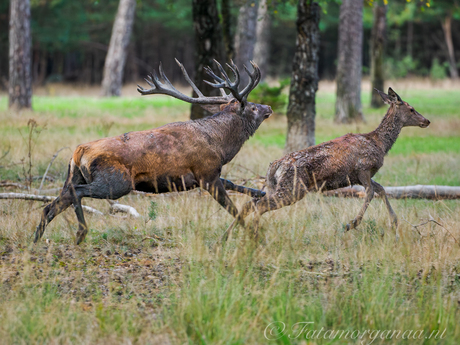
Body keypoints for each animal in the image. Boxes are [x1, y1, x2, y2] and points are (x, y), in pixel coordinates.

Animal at [37, 60, 274, 243]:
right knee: (76, 193)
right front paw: (255, 237)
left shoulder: (205, 176)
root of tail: (79, 151)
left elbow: (236, 185)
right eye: (253, 107)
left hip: (73, 175)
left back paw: (35, 242)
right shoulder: (206, 174)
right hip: (116, 181)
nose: (269, 107)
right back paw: (81, 233)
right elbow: (234, 209)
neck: (221, 146)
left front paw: (263, 193)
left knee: (51, 206)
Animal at [226, 88, 432, 239]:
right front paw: (352, 223)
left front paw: (394, 223)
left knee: (250, 202)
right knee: (259, 205)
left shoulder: (359, 175)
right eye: (411, 109)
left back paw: (228, 235)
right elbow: (371, 192)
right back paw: (254, 235)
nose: (427, 120)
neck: (380, 144)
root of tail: (273, 167)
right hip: (293, 189)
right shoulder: (363, 168)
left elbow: (380, 189)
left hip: (276, 186)